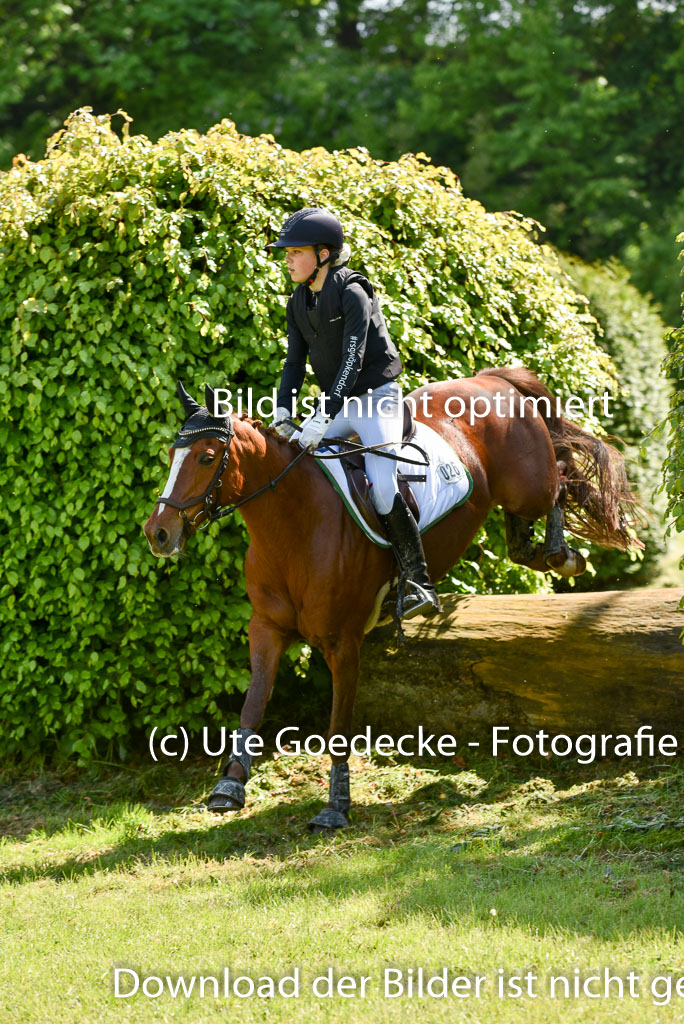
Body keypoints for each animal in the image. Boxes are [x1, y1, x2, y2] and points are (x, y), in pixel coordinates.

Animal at [143, 368, 642, 831]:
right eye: (171, 455)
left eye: (207, 457)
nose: (158, 533)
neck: (293, 526)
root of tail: (490, 379)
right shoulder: (267, 629)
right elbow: (254, 701)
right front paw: (229, 786)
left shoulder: (343, 643)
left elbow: (338, 726)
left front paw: (335, 807)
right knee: (526, 530)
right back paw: (539, 549)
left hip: (528, 484)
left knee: (561, 477)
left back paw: (562, 553)